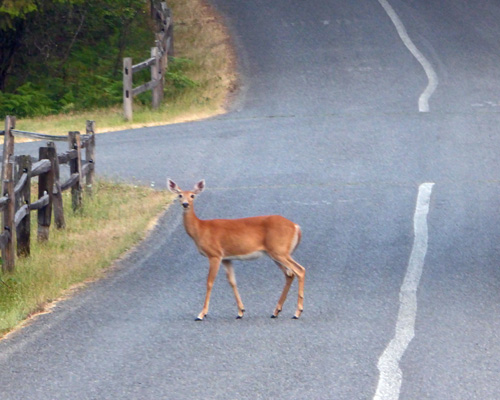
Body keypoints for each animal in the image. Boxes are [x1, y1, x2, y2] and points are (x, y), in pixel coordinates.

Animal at [167, 180, 304, 320]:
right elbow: (232, 281)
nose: (185, 204)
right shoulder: (226, 258)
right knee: (289, 274)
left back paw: (297, 312)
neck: (200, 229)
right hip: (275, 253)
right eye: (180, 195)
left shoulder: (214, 254)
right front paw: (241, 311)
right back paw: (276, 311)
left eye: (192, 195)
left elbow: (209, 282)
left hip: (280, 251)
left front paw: (201, 313)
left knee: (299, 270)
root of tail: (296, 227)